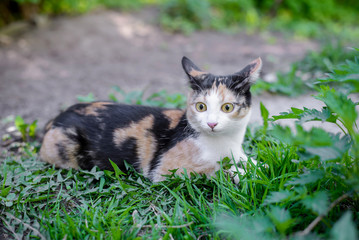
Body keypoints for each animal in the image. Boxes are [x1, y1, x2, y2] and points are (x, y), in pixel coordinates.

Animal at [40, 56, 262, 183]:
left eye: (227, 107)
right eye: (201, 107)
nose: (212, 123)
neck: (226, 143)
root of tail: (55, 118)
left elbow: (249, 160)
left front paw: (260, 166)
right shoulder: (167, 169)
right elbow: (217, 169)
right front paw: (243, 174)